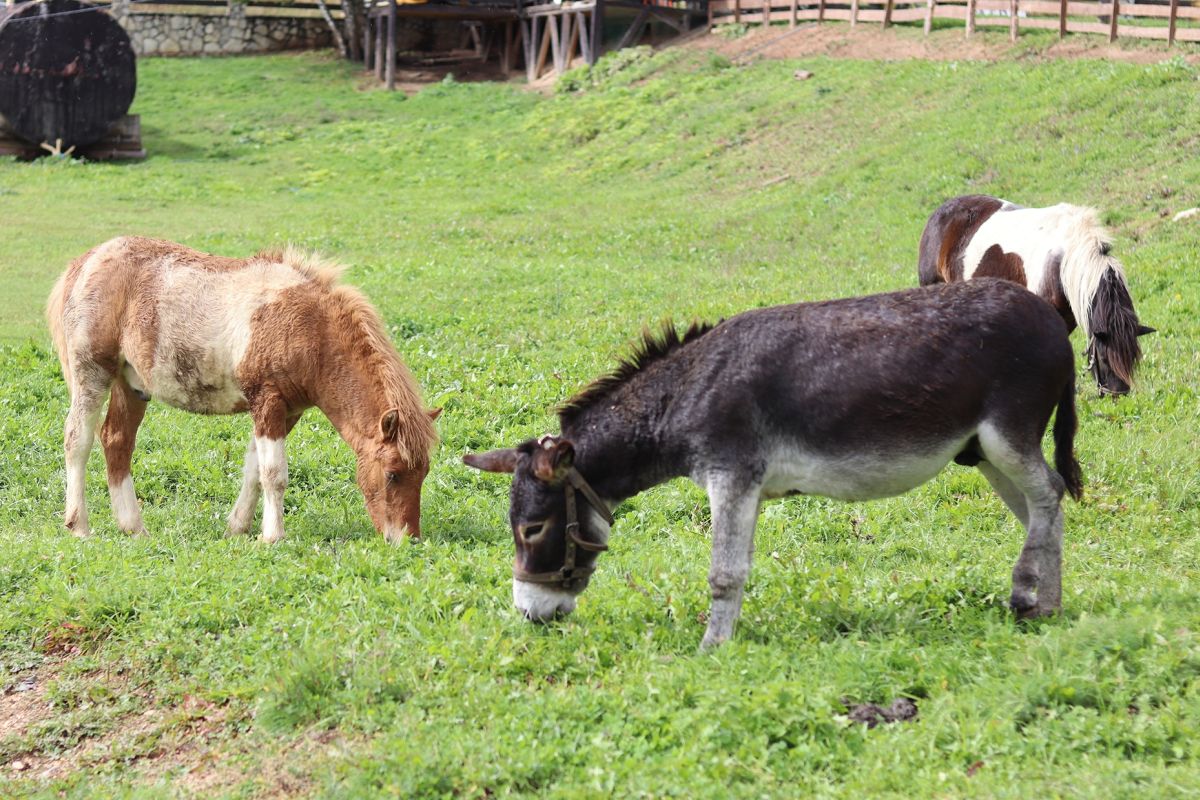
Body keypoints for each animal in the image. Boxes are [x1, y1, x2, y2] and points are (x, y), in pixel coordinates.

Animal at [46, 236, 440, 543]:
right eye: (392, 474)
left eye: (424, 472)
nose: (407, 539)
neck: (311, 331)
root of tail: (85, 262)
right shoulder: (267, 400)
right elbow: (274, 474)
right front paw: (273, 536)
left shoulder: (286, 411)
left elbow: (254, 470)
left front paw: (238, 528)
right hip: (92, 372)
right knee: (77, 440)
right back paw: (79, 526)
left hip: (132, 385)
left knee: (116, 441)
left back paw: (134, 528)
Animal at [465, 279, 1083, 650]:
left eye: (533, 529)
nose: (530, 615)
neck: (685, 393)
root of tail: (1052, 319)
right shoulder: (749, 486)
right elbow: (738, 567)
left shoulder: (731, 476)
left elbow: (723, 573)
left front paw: (711, 650)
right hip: (982, 453)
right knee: (1039, 510)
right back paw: (1040, 600)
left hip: (1007, 436)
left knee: (1049, 493)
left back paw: (1035, 600)